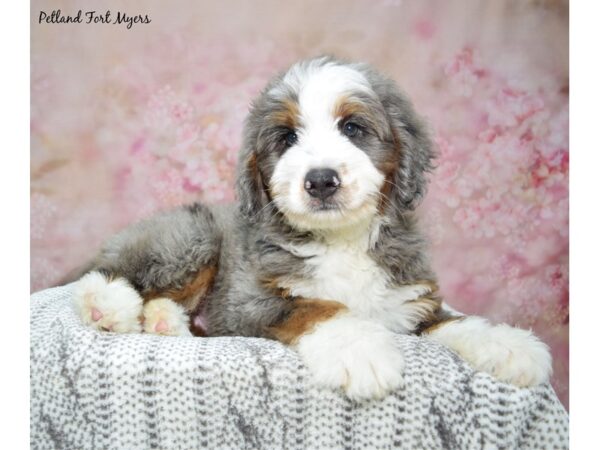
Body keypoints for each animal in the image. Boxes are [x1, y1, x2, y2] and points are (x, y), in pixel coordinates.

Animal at [70, 57, 552, 400]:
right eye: (286, 138)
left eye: (353, 128)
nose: (320, 180)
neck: (342, 240)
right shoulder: (247, 301)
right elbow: (316, 307)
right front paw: (359, 349)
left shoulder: (411, 300)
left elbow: (451, 320)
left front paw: (508, 345)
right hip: (192, 236)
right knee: (110, 274)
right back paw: (110, 306)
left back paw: (164, 322)